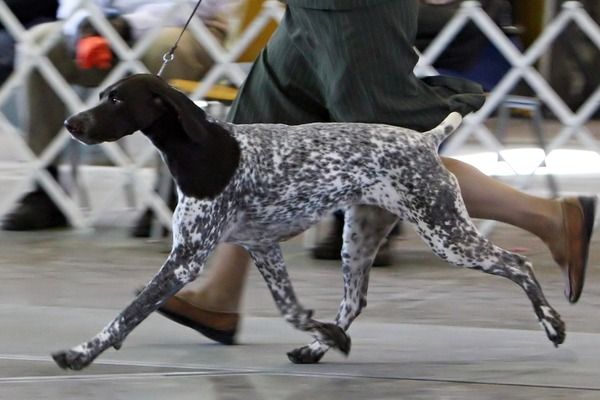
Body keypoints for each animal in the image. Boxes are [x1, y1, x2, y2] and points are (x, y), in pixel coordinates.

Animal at [54, 73, 565, 370]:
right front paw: (325, 336)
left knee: (519, 265)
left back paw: (553, 323)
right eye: (100, 95)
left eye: (116, 100)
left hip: (446, 234)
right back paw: (319, 347)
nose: (71, 123)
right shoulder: (262, 247)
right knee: (353, 302)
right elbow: (292, 309)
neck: (203, 151)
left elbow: (127, 315)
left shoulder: (185, 261)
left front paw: (81, 353)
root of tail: (425, 139)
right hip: (358, 239)